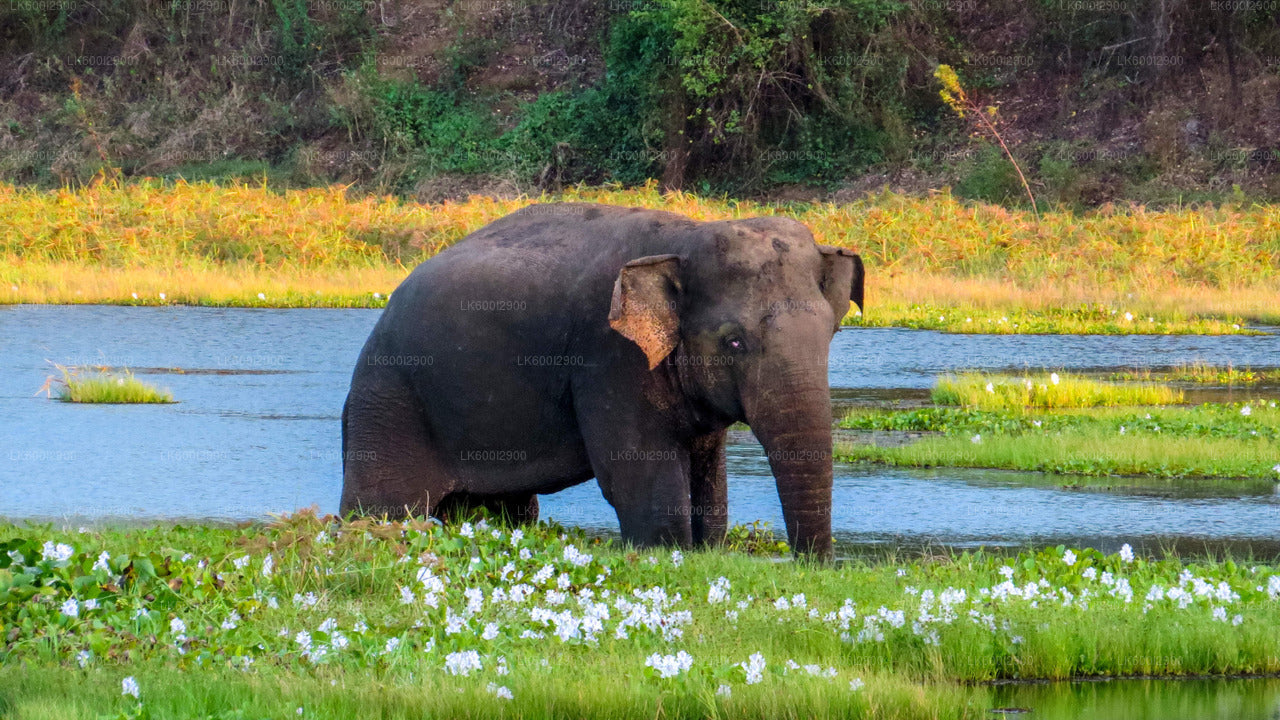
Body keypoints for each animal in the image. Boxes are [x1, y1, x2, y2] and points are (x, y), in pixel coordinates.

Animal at [340, 199, 865, 556]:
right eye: (734, 342)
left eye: (831, 333)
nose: (812, 567)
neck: (685, 239)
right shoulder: (609, 358)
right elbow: (634, 476)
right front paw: (668, 552)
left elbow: (709, 476)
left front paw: (706, 549)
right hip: (389, 402)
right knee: (382, 505)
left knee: (507, 509)